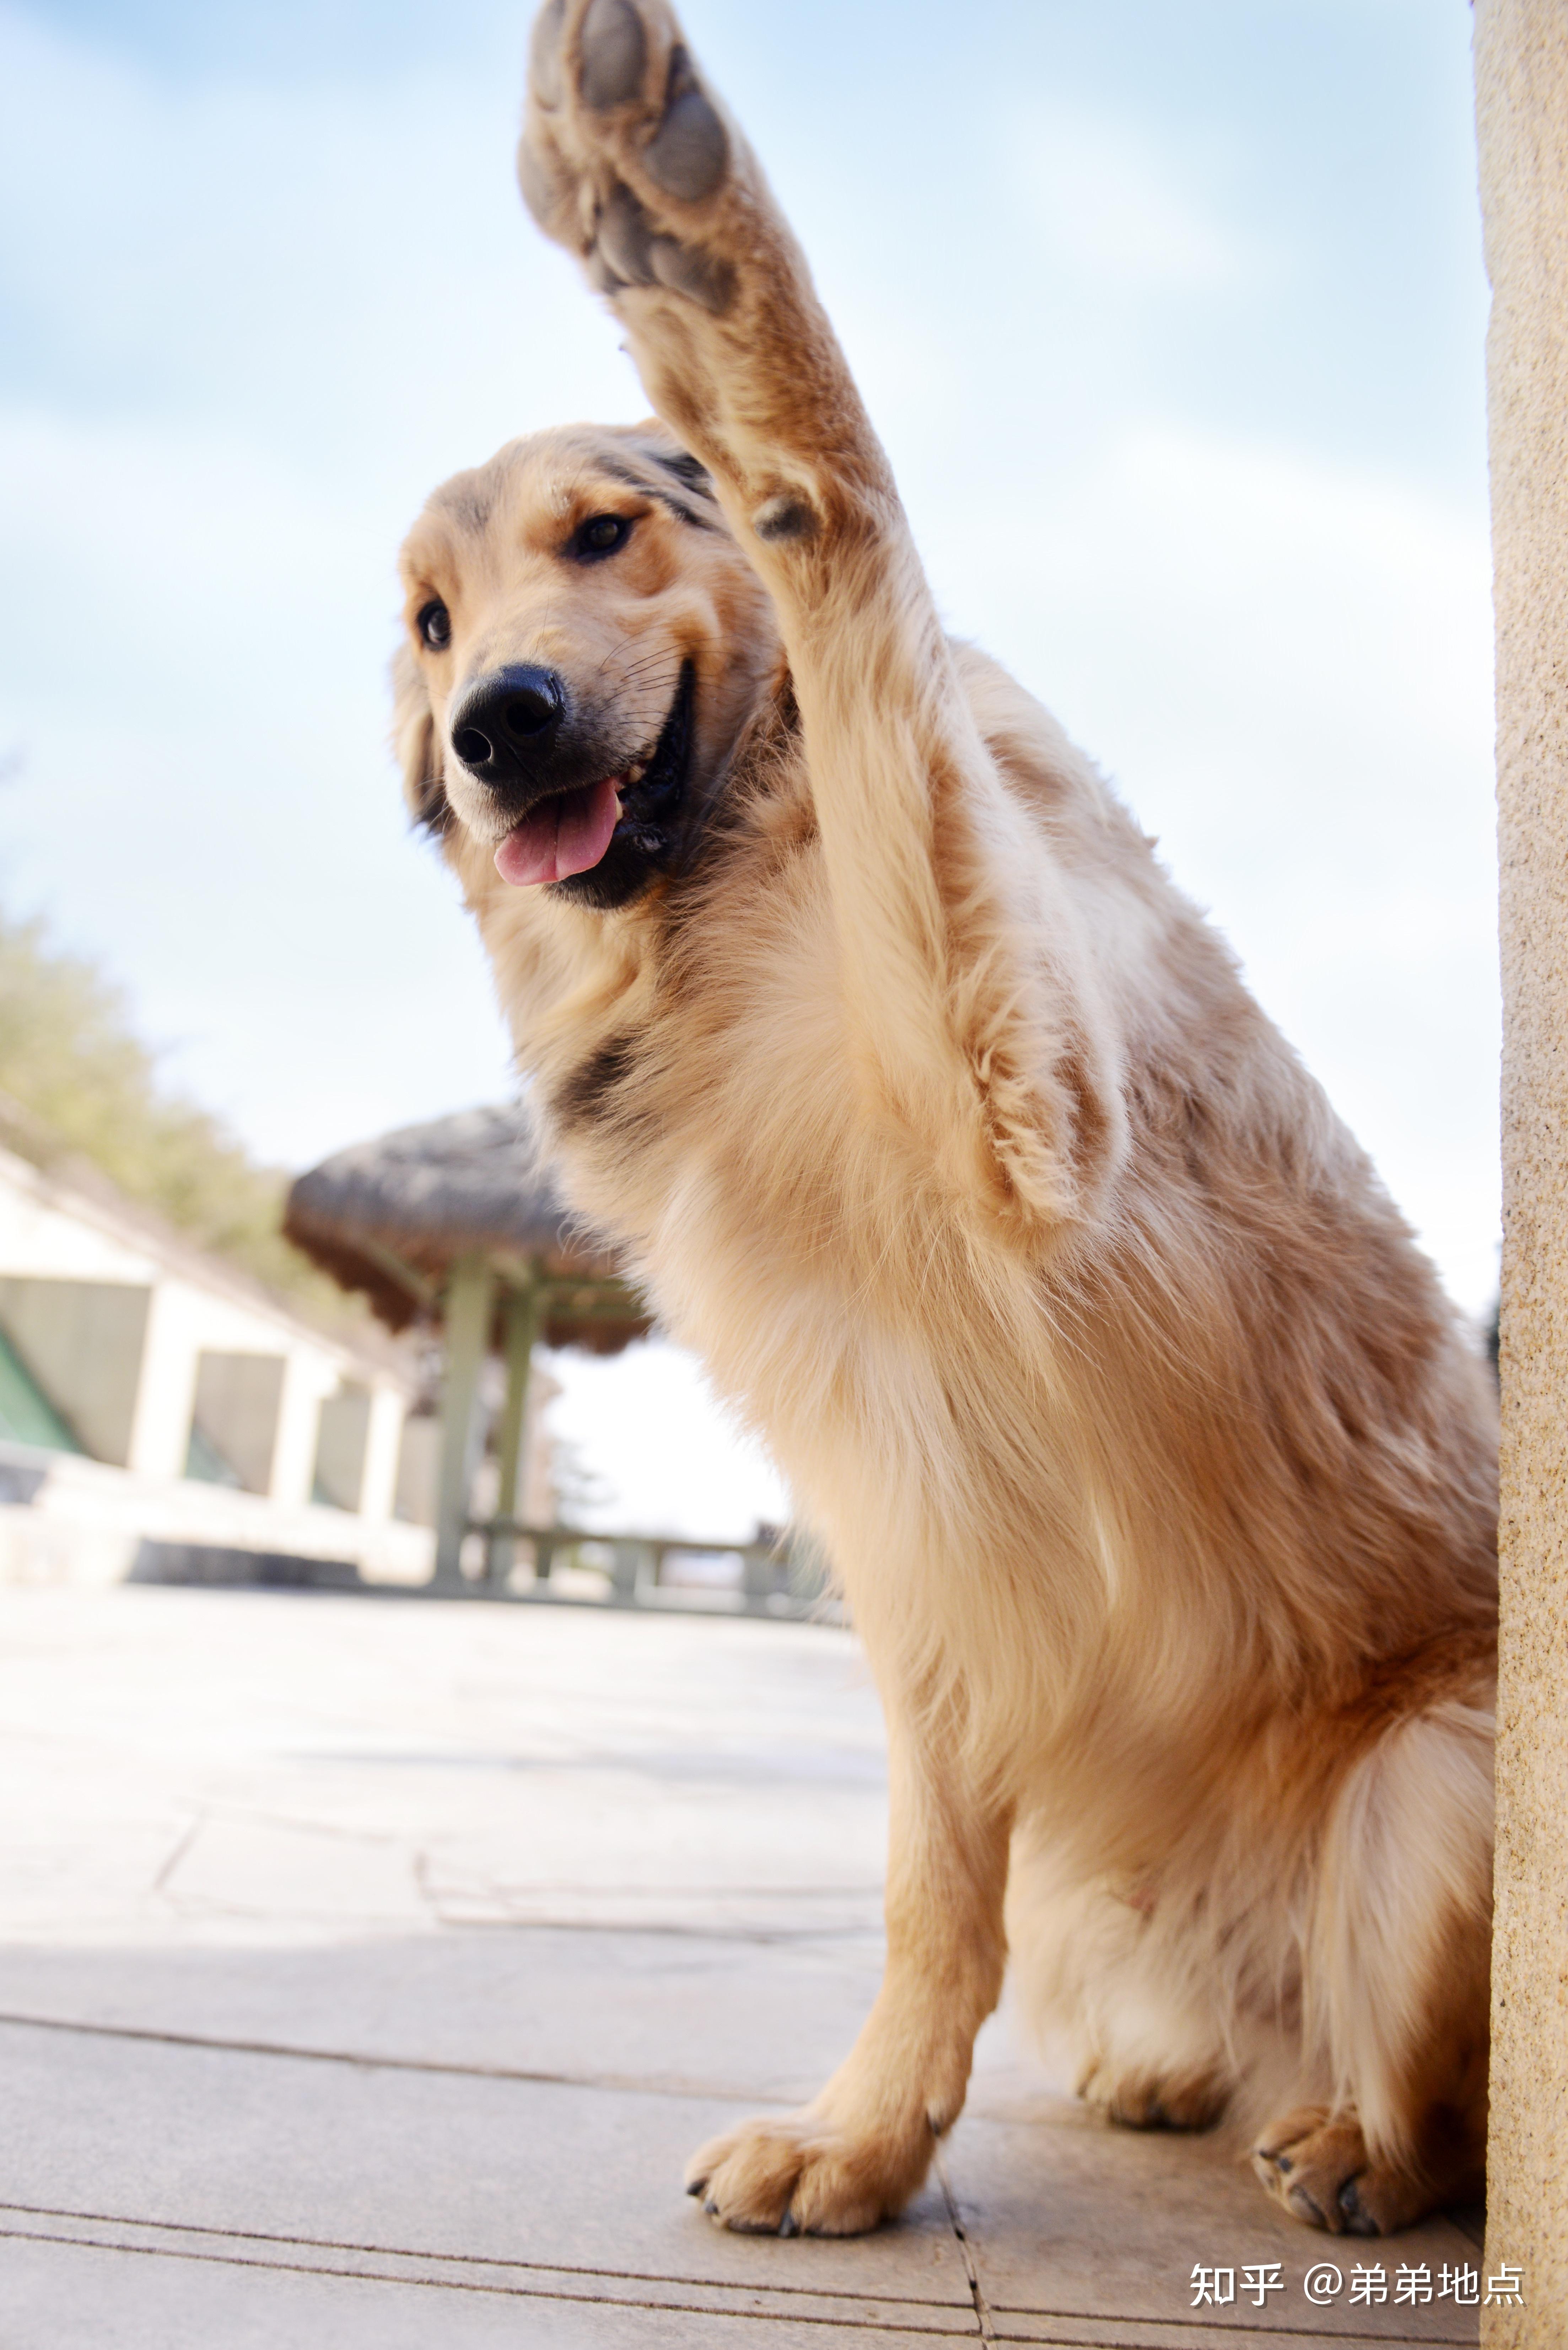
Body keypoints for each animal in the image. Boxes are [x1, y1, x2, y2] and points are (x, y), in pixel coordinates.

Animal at [392, 0, 1495, 2237]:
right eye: (428, 622)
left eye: (604, 533)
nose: (494, 731)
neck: (737, 881)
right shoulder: (919, 1571)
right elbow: (927, 1894)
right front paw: (869, 2133)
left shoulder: (1032, 1099)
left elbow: (850, 531)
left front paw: (687, 243)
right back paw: (1172, 2064)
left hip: (1434, 1774)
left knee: (1431, 2102)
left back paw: (1351, 2142)